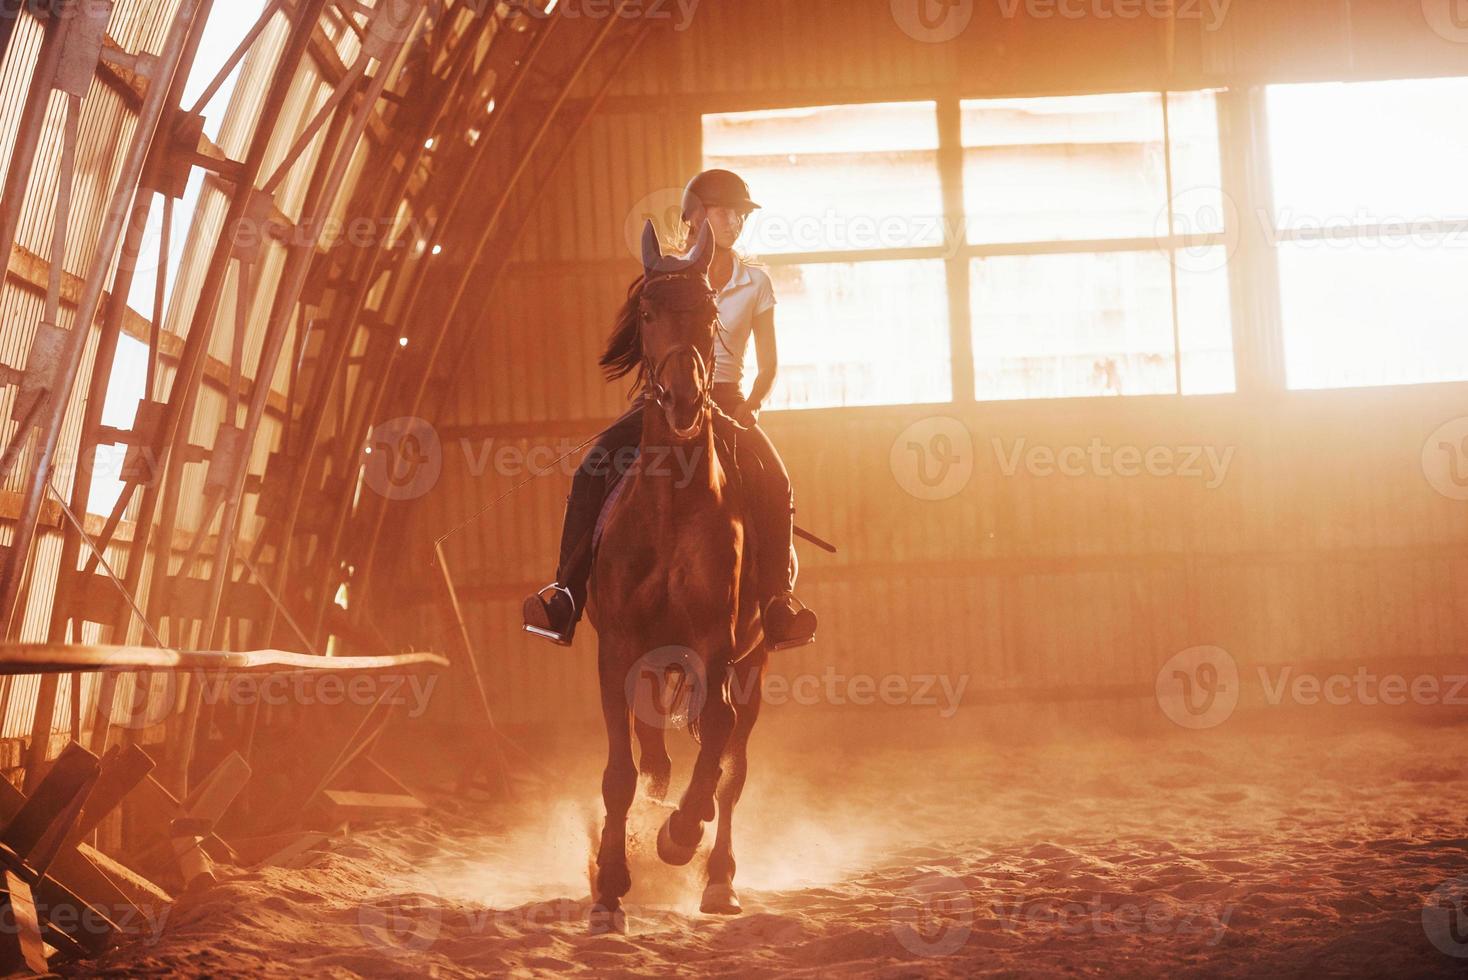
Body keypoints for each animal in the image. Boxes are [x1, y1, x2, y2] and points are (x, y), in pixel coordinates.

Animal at [584, 221, 769, 933]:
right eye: (647, 313)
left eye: (713, 314)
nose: (687, 397)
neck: (670, 505)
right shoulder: (617, 650)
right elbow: (619, 773)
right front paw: (609, 890)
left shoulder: (717, 650)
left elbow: (716, 746)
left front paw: (678, 837)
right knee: (655, 749)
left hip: (754, 664)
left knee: (730, 769)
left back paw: (717, 878)